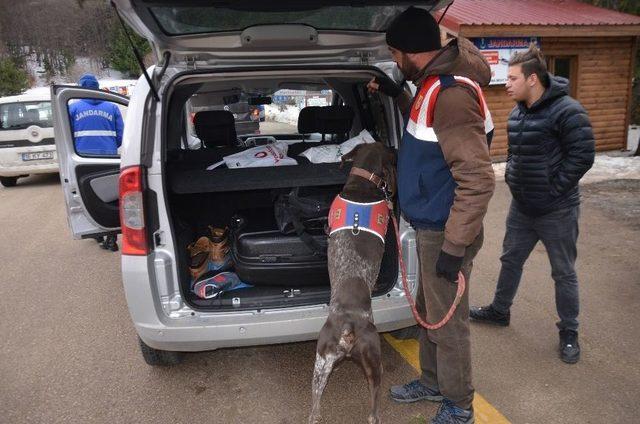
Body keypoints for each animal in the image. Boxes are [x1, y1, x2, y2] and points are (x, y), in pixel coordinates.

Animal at [308, 143, 396, 424]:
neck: (363, 184)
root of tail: (349, 327)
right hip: (372, 361)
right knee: (373, 410)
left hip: (322, 362)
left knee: (315, 408)